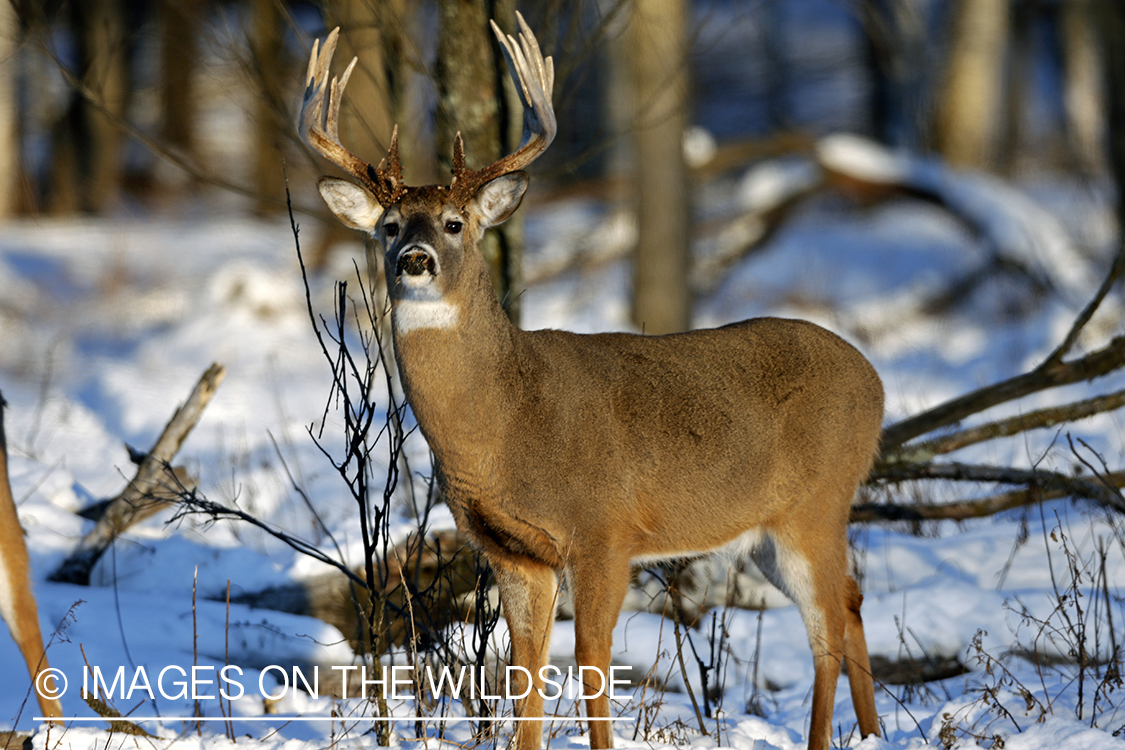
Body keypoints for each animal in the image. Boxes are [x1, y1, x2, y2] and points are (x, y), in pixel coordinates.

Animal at [299, 13, 886, 750]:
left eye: (455, 223)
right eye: (388, 226)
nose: (414, 258)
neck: (507, 421)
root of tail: (876, 383)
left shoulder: (606, 528)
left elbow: (593, 660)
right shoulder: (513, 551)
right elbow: (524, 668)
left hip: (816, 503)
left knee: (826, 628)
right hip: (767, 532)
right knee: (852, 600)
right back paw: (873, 733)